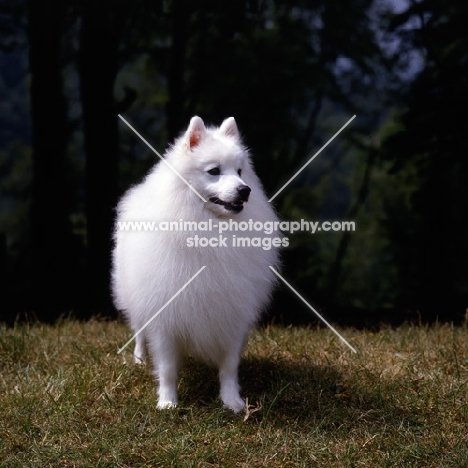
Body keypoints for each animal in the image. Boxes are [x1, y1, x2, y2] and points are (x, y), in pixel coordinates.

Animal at [112, 115, 282, 412]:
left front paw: (232, 401)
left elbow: (229, 367)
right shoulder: (165, 315)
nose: (245, 190)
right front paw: (168, 401)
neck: (210, 228)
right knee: (139, 330)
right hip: (133, 293)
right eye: (214, 171)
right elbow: (167, 368)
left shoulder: (233, 313)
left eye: (240, 171)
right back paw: (139, 359)